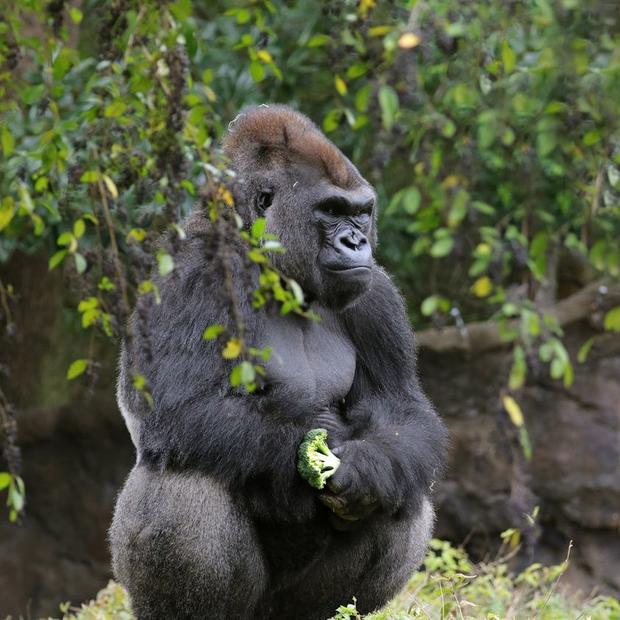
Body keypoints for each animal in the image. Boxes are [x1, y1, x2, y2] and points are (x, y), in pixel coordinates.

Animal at [111, 106, 448, 620]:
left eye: (359, 212)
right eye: (330, 211)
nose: (357, 242)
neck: (270, 268)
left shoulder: (377, 295)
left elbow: (402, 416)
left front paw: (364, 468)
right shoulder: (188, 278)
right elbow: (177, 411)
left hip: (288, 607)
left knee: (404, 492)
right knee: (184, 479)